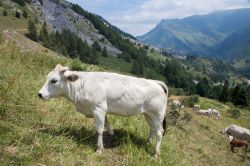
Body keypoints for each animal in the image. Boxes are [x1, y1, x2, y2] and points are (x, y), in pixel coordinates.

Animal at [38, 64, 168, 158]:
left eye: (54, 80)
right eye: (47, 77)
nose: (40, 94)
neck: (80, 87)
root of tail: (156, 82)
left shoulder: (98, 108)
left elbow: (99, 129)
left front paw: (99, 149)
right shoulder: (101, 110)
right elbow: (107, 125)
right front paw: (111, 136)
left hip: (157, 114)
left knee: (159, 132)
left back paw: (156, 154)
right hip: (148, 114)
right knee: (152, 128)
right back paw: (148, 142)